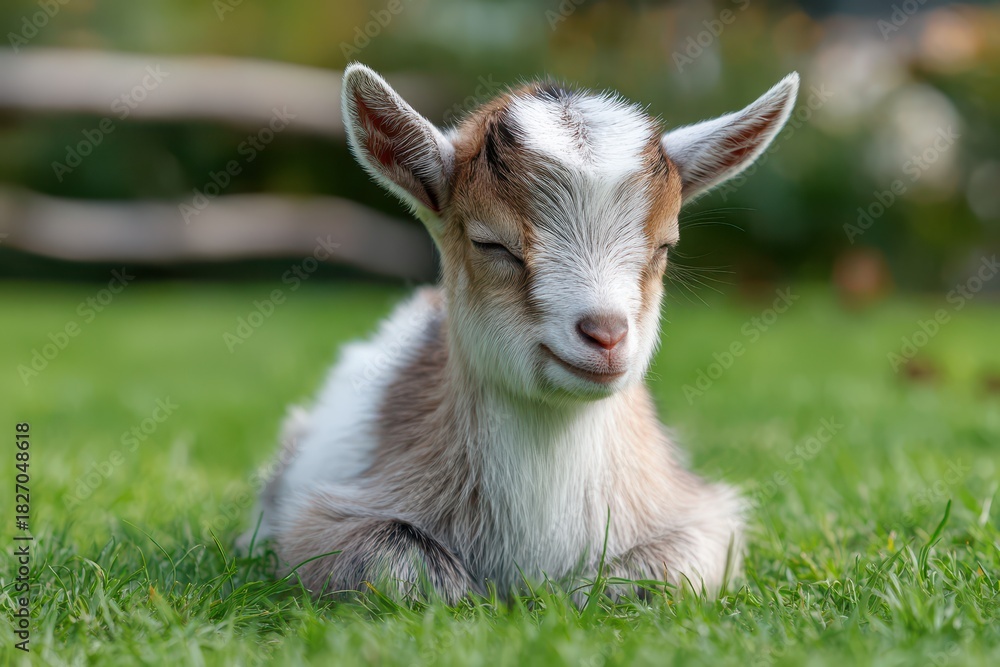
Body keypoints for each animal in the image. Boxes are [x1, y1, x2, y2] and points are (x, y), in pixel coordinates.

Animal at [242, 64, 799, 602]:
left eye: (664, 246)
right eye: (492, 244)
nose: (605, 335)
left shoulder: (701, 517)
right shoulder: (313, 522)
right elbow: (402, 565)